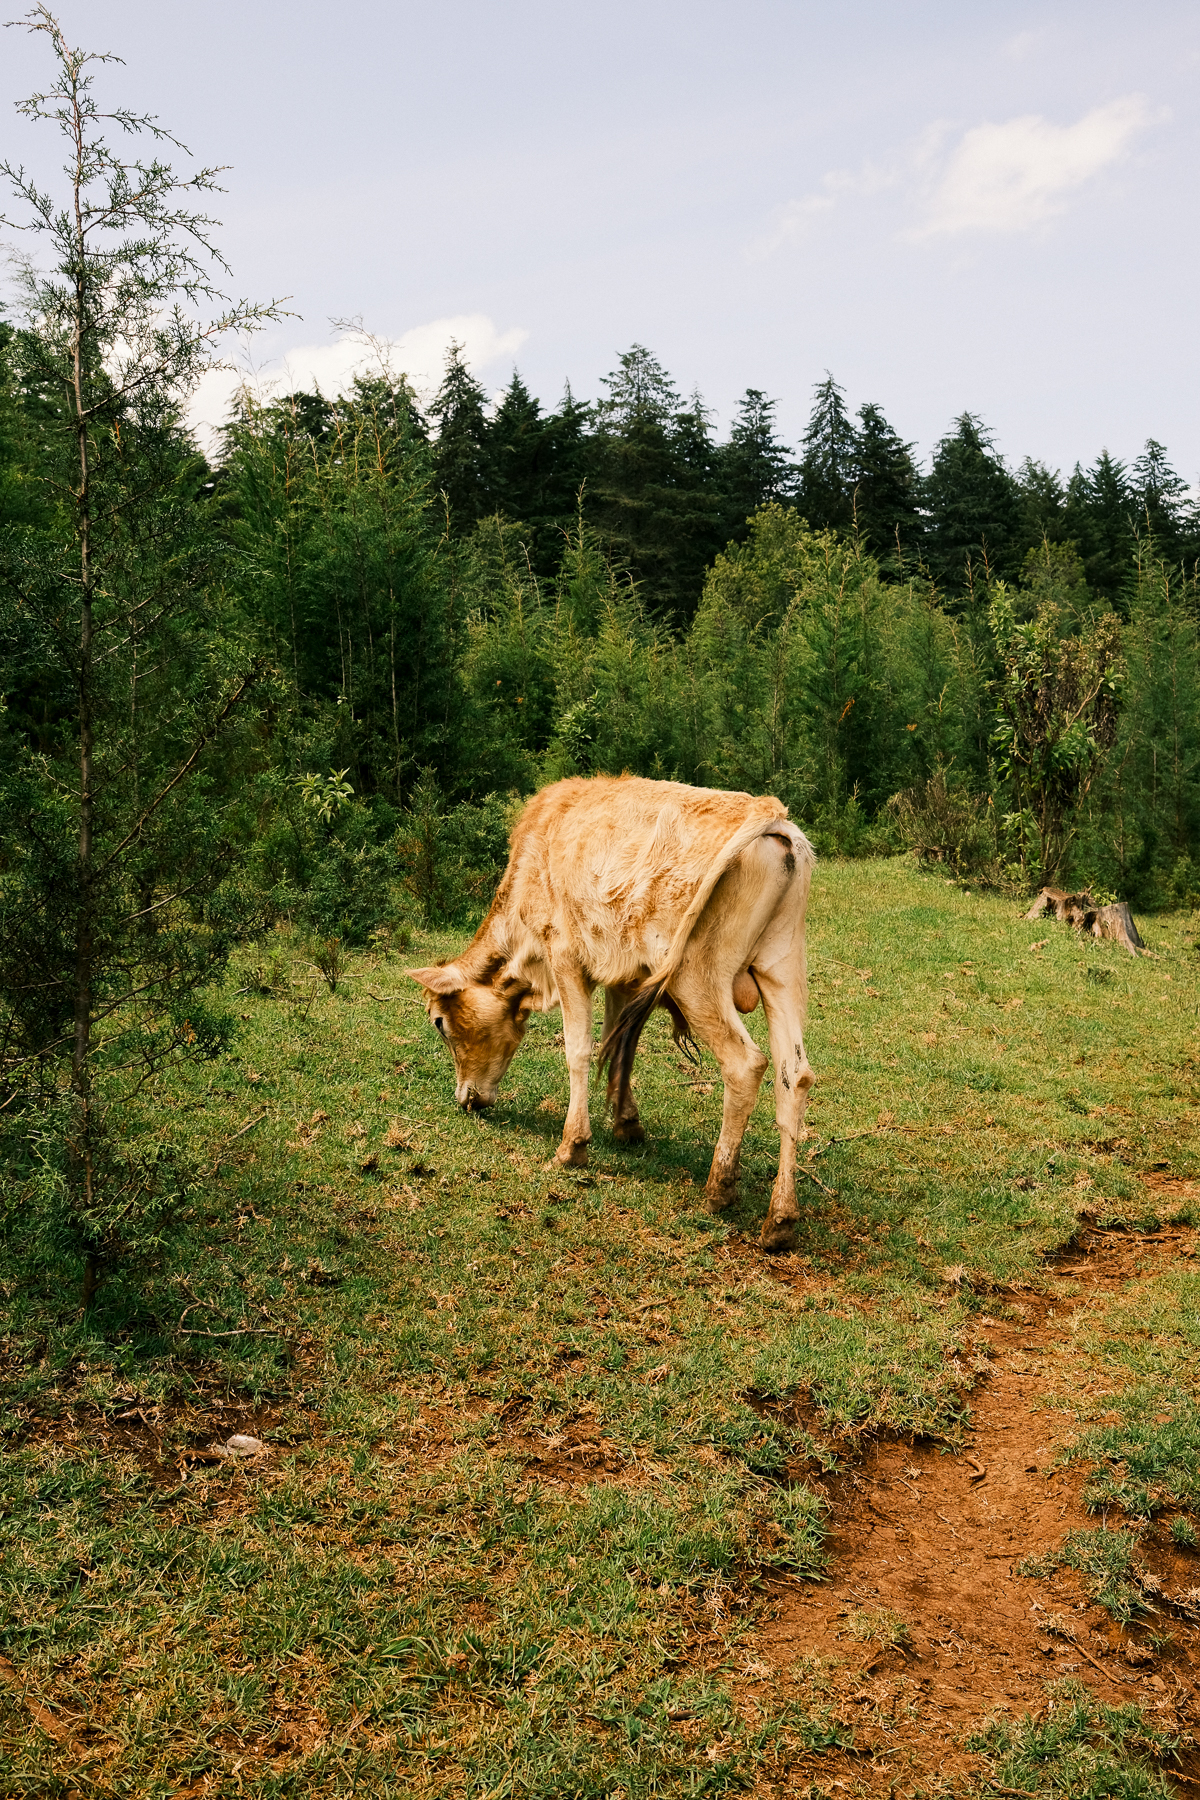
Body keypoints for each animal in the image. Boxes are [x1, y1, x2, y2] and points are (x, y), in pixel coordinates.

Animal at [410, 774, 816, 1252]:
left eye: (440, 1023)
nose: (466, 1099)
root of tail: (771, 815)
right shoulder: (626, 975)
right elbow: (619, 1046)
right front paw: (626, 1123)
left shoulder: (566, 957)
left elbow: (579, 1050)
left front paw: (572, 1147)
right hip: (780, 970)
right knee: (795, 1076)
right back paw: (780, 1219)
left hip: (696, 975)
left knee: (745, 1064)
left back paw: (719, 1188)